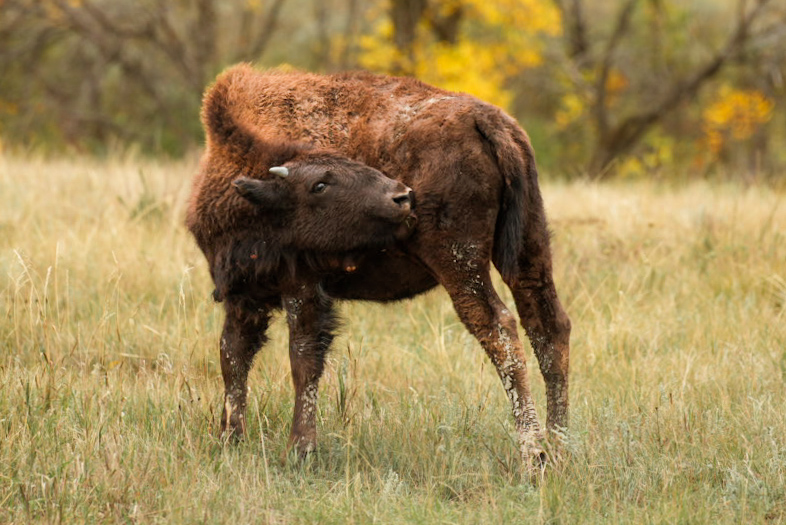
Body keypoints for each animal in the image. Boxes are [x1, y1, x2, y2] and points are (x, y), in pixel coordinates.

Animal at [186, 64, 571, 470]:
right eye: (320, 184)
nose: (402, 196)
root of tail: (488, 119)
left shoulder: (300, 288)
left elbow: (302, 360)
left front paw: (299, 450)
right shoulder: (243, 295)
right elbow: (232, 356)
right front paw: (229, 439)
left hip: (459, 262)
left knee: (500, 329)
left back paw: (533, 454)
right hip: (529, 248)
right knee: (548, 328)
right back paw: (559, 448)